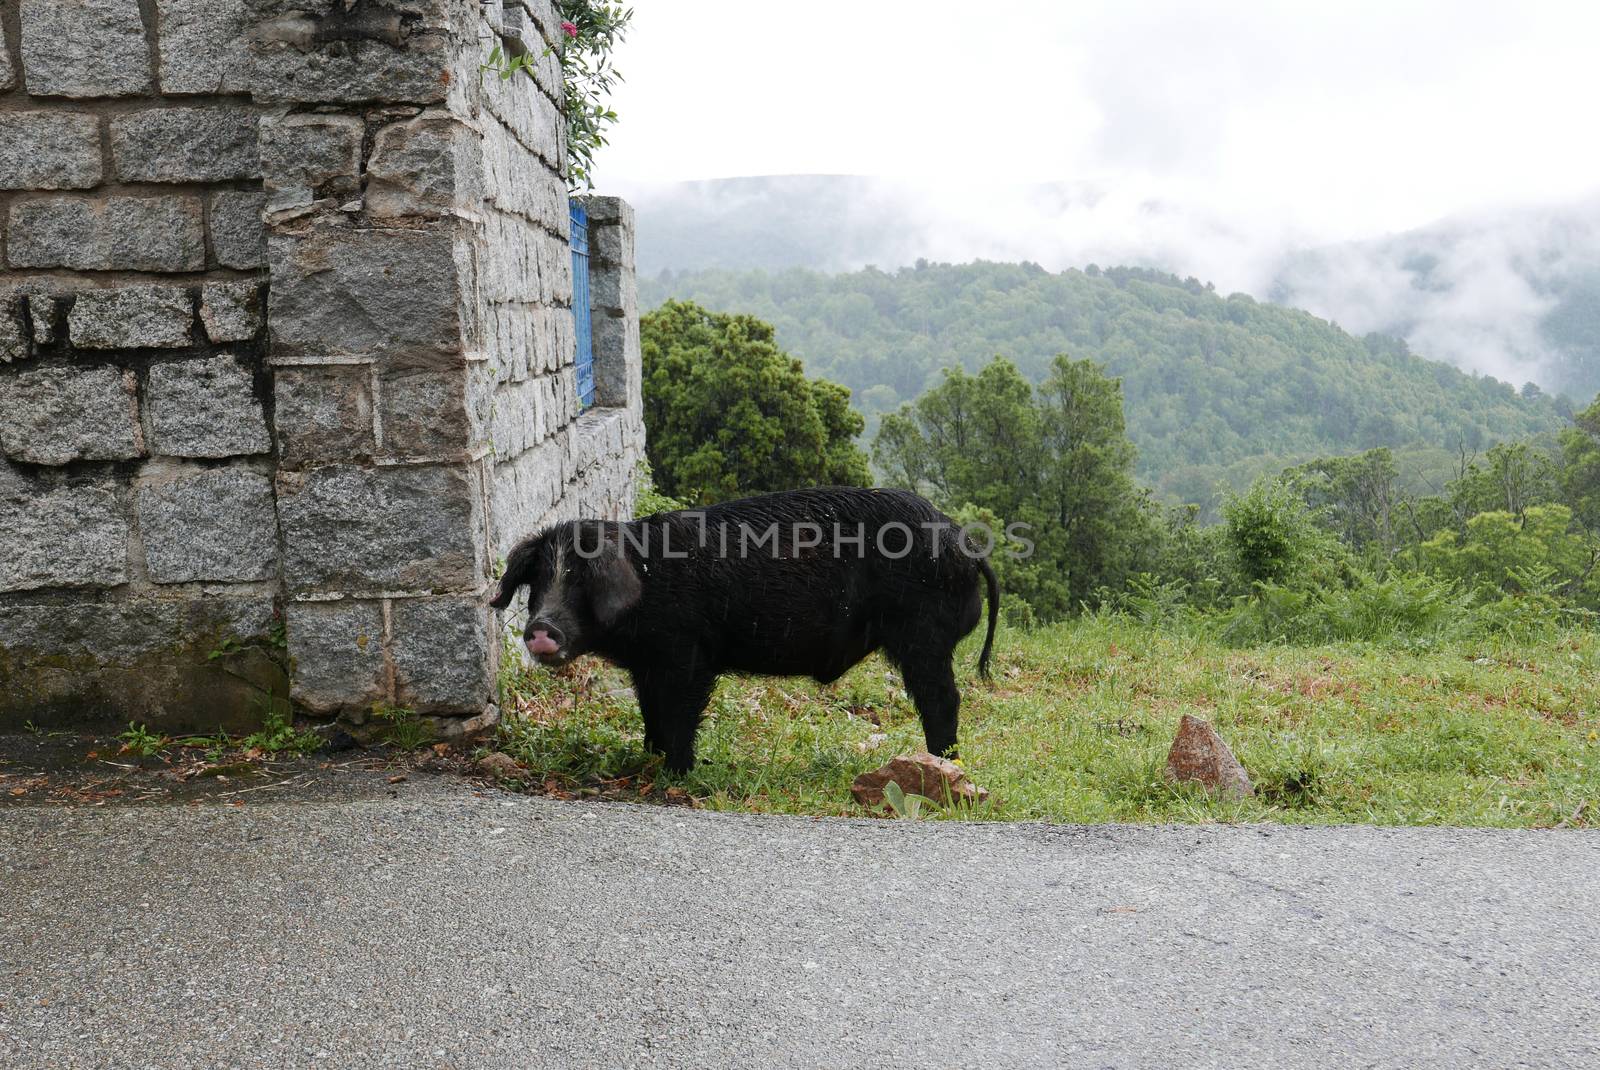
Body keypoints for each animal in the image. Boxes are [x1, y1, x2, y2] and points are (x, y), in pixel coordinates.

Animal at [486, 489, 992, 770]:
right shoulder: (646, 666)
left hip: (924, 634)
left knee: (943, 699)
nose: (541, 628)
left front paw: (677, 772)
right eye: (538, 580)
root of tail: (964, 542)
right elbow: (650, 712)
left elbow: (680, 714)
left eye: (583, 580)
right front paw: (649, 757)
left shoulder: (688, 654)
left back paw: (943, 763)